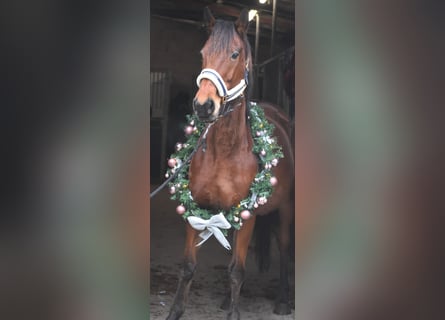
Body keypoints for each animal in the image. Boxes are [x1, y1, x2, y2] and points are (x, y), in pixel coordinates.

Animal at [165, 8, 294, 320]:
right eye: (203, 53)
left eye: (235, 54)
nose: (203, 106)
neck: (224, 151)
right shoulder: (197, 209)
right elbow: (188, 267)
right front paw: (175, 311)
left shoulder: (247, 216)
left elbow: (237, 270)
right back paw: (226, 299)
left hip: (285, 208)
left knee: (285, 250)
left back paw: (283, 301)